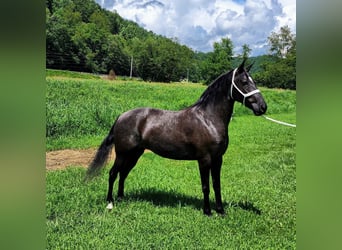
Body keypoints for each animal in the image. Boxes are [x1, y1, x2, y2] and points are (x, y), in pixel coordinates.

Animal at [85, 59, 268, 216]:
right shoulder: (204, 159)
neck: (208, 119)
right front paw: (208, 212)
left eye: (253, 80)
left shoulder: (218, 159)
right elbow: (206, 186)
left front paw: (221, 211)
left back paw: (121, 198)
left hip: (134, 154)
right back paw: (110, 202)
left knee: (123, 174)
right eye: (244, 81)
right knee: (113, 173)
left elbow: (217, 185)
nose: (262, 107)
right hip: (123, 154)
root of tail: (121, 116)